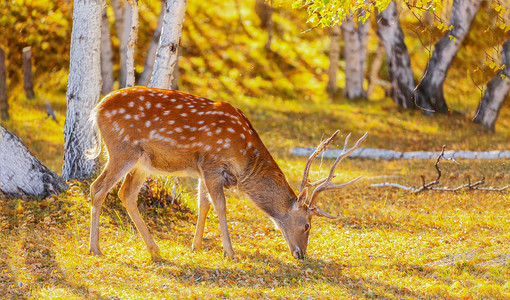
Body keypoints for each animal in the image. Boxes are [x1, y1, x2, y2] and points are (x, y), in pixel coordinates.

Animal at [87, 85, 366, 262]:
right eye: (307, 225)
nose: (302, 255)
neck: (244, 159)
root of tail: (96, 109)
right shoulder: (212, 163)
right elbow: (220, 205)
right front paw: (230, 253)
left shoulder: (202, 169)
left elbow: (203, 204)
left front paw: (196, 247)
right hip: (122, 150)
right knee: (97, 188)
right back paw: (95, 249)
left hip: (143, 161)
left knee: (126, 194)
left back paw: (154, 250)